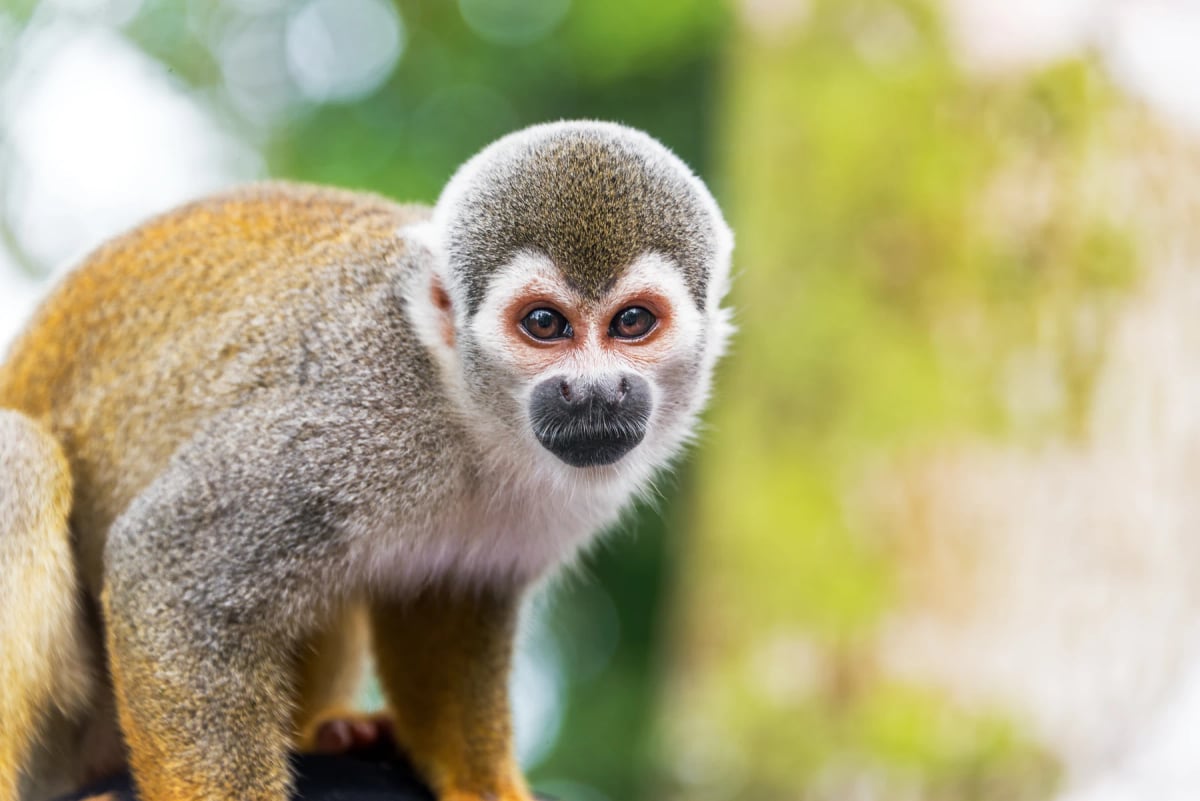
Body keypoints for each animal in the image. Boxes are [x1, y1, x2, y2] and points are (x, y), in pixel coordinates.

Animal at [0, 120, 734, 801]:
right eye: (545, 324)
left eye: (632, 322)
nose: (594, 392)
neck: (467, 414)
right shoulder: (345, 423)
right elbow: (167, 573)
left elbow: (449, 602)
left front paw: (483, 784)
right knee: (23, 460)